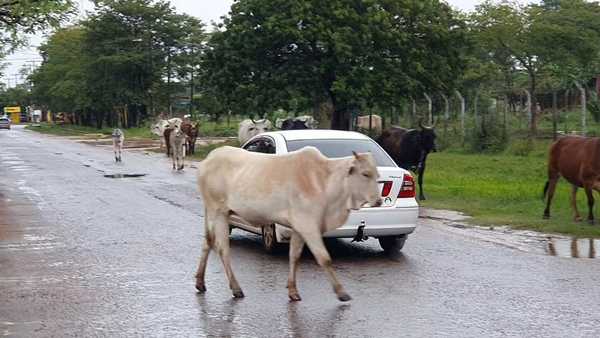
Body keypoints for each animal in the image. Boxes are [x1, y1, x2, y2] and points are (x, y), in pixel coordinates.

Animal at [195, 145, 382, 302]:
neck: (324, 181)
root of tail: (209, 158)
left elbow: (294, 256)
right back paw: (236, 288)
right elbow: (324, 258)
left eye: (377, 176)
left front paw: (293, 290)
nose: (379, 201)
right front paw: (341, 292)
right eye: (365, 174)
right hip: (218, 213)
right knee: (223, 249)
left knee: (207, 243)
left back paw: (200, 282)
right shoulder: (308, 225)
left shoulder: (299, 227)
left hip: (213, 214)